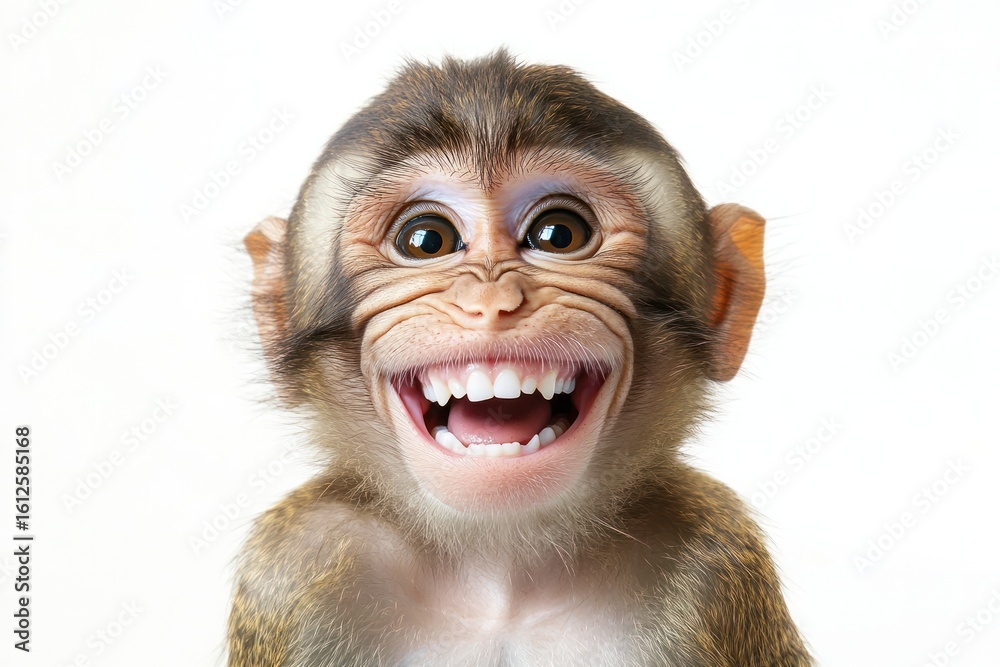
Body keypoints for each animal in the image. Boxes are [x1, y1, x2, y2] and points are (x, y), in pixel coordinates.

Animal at [229, 49, 812, 666]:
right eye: (425, 239)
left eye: (558, 233)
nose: (490, 302)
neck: (499, 576)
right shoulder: (294, 565)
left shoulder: (715, 565)